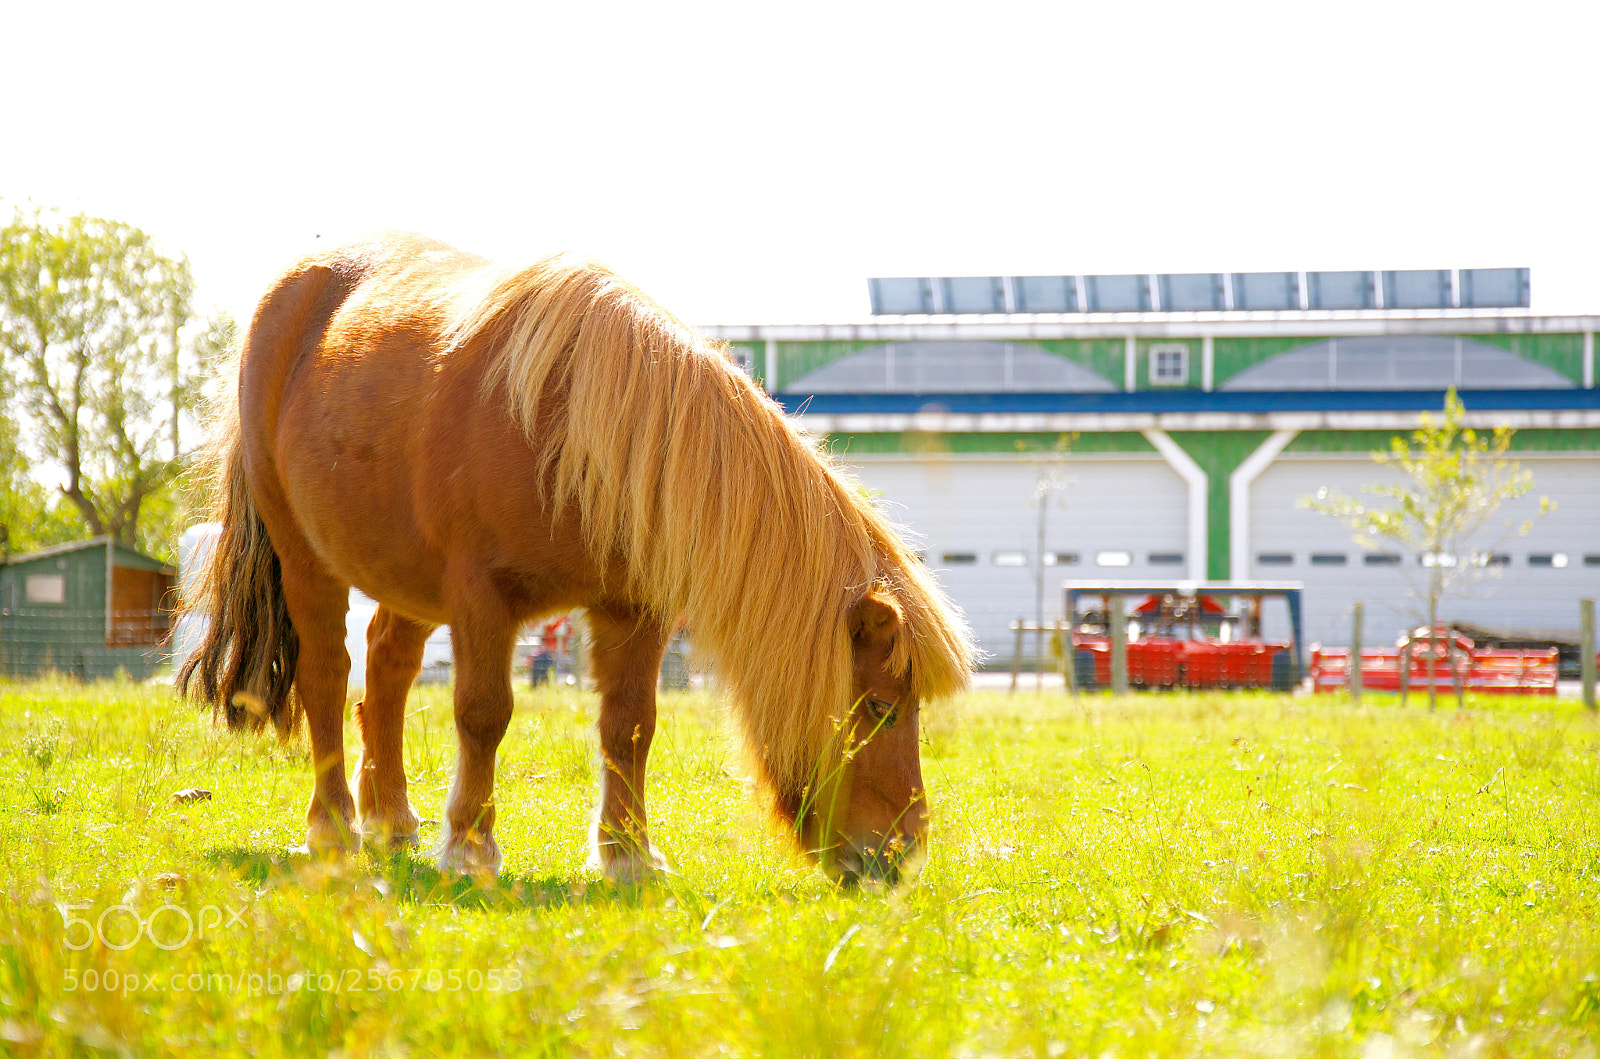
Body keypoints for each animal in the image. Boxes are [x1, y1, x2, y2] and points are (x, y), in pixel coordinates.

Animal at [178, 233, 973, 884]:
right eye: (879, 707)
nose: (902, 855)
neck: (573, 434)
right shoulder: (481, 598)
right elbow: (483, 713)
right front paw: (471, 847)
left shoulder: (635, 609)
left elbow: (630, 724)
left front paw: (628, 854)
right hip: (305, 557)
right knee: (326, 677)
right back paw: (336, 828)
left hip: (402, 575)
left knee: (386, 672)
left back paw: (392, 821)